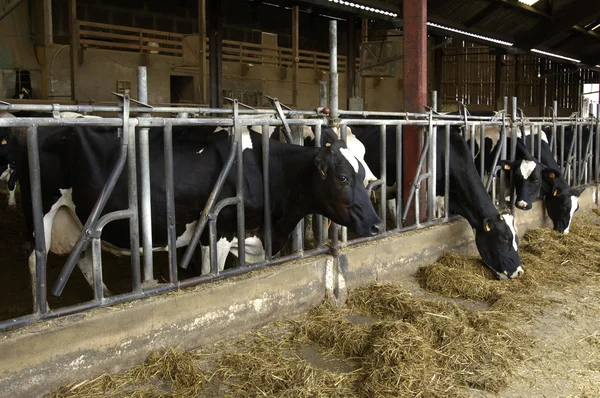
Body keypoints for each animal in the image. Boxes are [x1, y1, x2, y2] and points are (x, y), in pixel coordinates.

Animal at [15, 123, 384, 300]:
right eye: (342, 177)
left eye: (362, 167)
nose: (378, 225)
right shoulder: (216, 234)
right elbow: (211, 276)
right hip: (40, 215)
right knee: (35, 261)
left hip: (79, 219)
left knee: (84, 259)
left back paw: (105, 295)